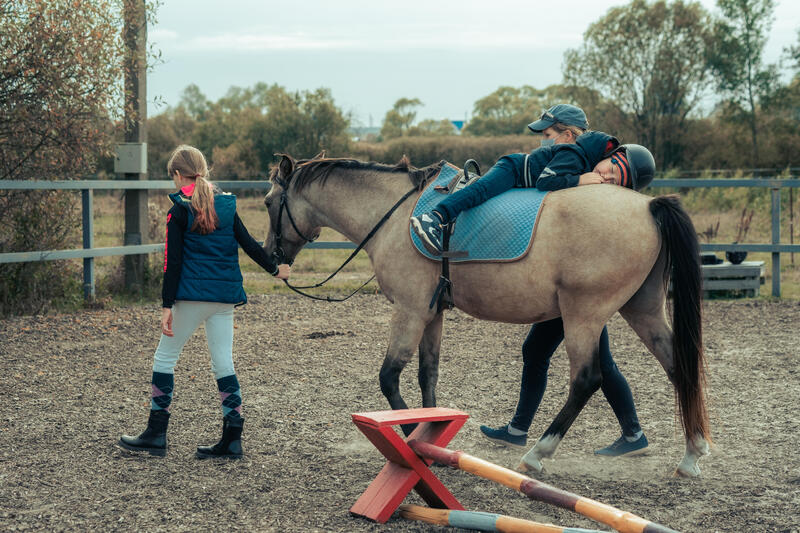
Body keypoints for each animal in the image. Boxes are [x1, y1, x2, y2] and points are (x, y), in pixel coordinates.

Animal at [264, 152, 712, 476]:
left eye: (269, 202)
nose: (271, 259)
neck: (394, 215)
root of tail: (650, 206)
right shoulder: (432, 313)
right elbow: (428, 375)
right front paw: (431, 432)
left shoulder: (409, 311)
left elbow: (389, 377)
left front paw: (412, 437)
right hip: (642, 311)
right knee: (678, 367)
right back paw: (691, 454)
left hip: (583, 317)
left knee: (587, 380)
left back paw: (537, 454)